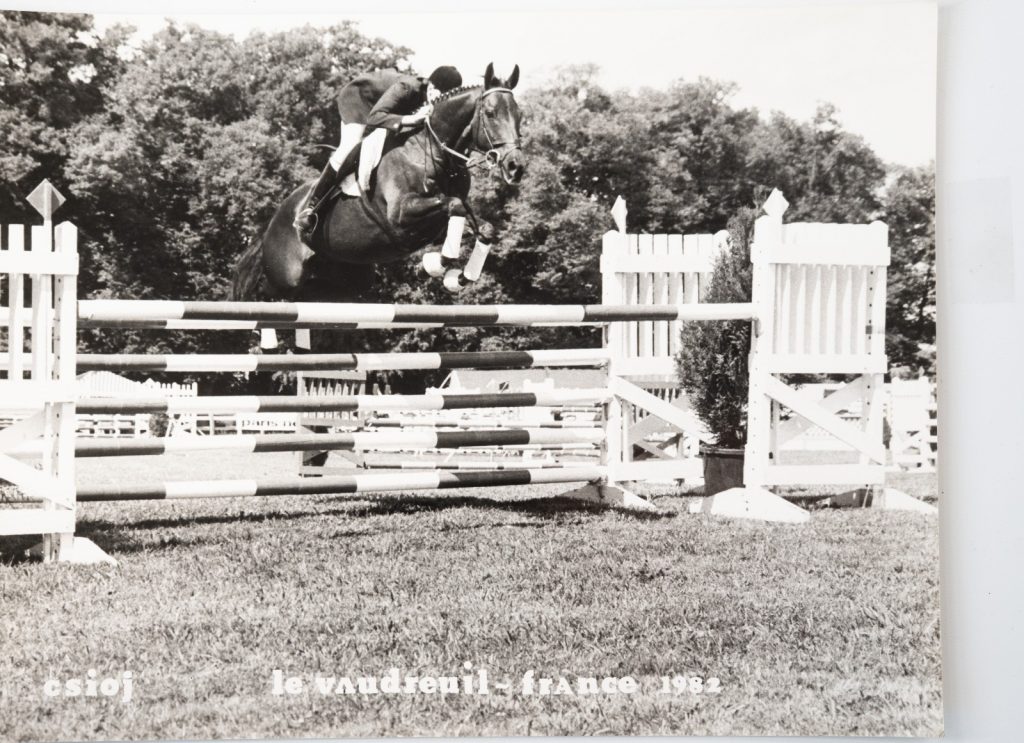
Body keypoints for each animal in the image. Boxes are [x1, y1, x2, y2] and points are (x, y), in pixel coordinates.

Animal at [230, 63, 525, 303]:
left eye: (519, 114)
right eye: (490, 113)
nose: (516, 166)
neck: (431, 151)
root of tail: (272, 221)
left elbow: (483, 226)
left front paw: (458, 276)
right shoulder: (401, 216)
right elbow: (454, 205)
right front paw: (439, 265)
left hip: (349, 279)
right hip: (285, 276)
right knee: (269, 291)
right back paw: (304, 219)